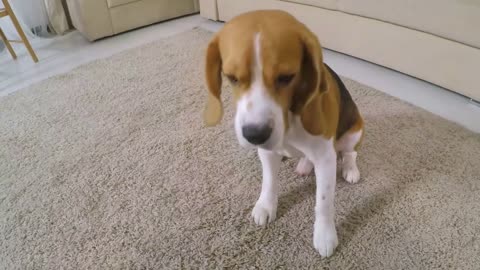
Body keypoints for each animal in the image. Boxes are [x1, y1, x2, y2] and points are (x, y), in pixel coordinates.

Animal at [202, 9, 364, 256]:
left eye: (287, 77)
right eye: (231, 77)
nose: (255, 135)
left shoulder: (326, 158)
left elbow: (324, 202)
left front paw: (325, 235)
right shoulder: (267, 153)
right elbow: (269, 182)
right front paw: (266, 206)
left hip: (354, 131)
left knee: (349, 153)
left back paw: (350, 169)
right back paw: (304, 164)